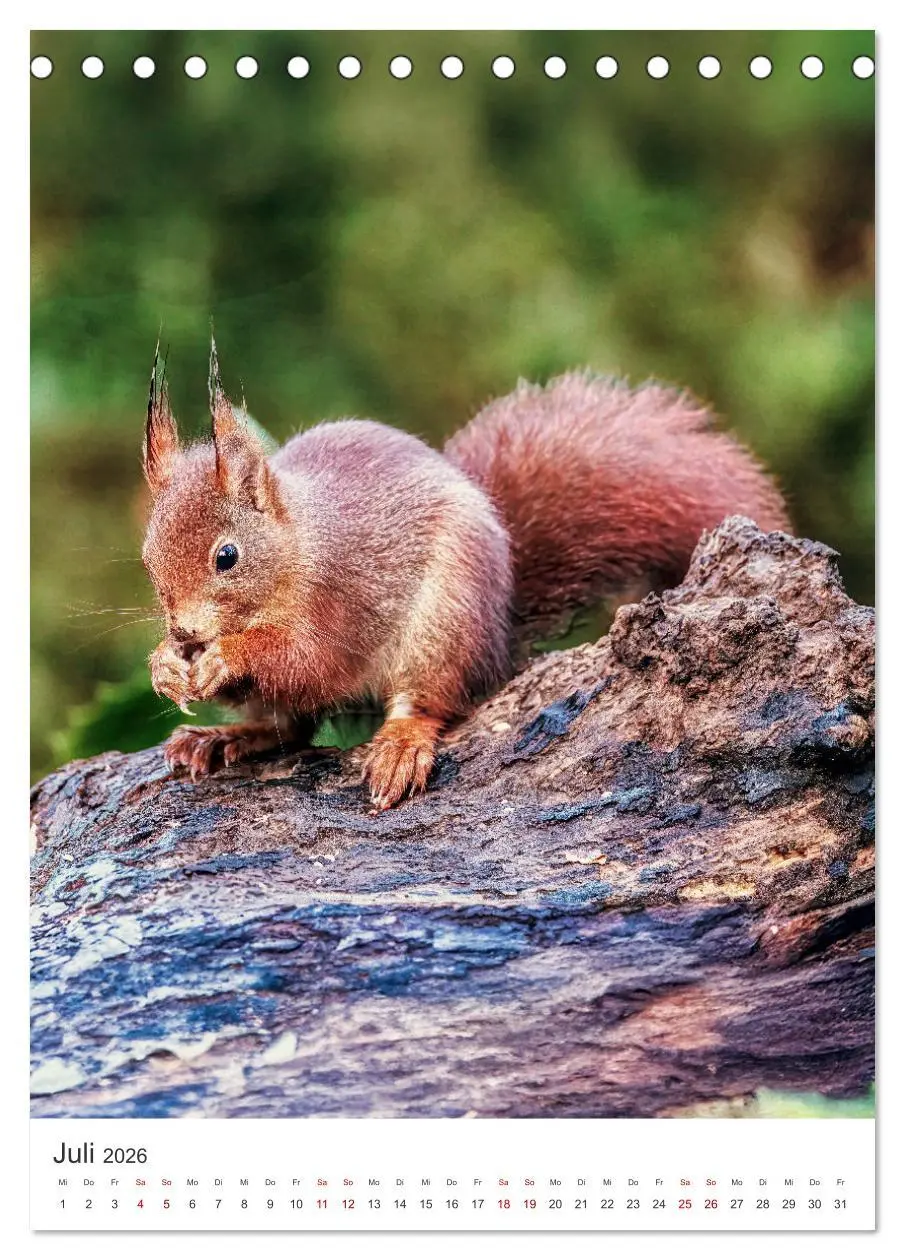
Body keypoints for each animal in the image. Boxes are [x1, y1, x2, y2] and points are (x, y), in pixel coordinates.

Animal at [142, 343, 790, 809]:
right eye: (148, 557)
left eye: (227, 556)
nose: (184, 632)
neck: (296, 548)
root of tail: (498, 631)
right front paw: (166, 666)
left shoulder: (341, 596)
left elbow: (307, 659)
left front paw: (228, 655)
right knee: (287, 729)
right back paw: (223, 738)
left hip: (444, 625)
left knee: (424, 703)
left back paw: (400, 745)